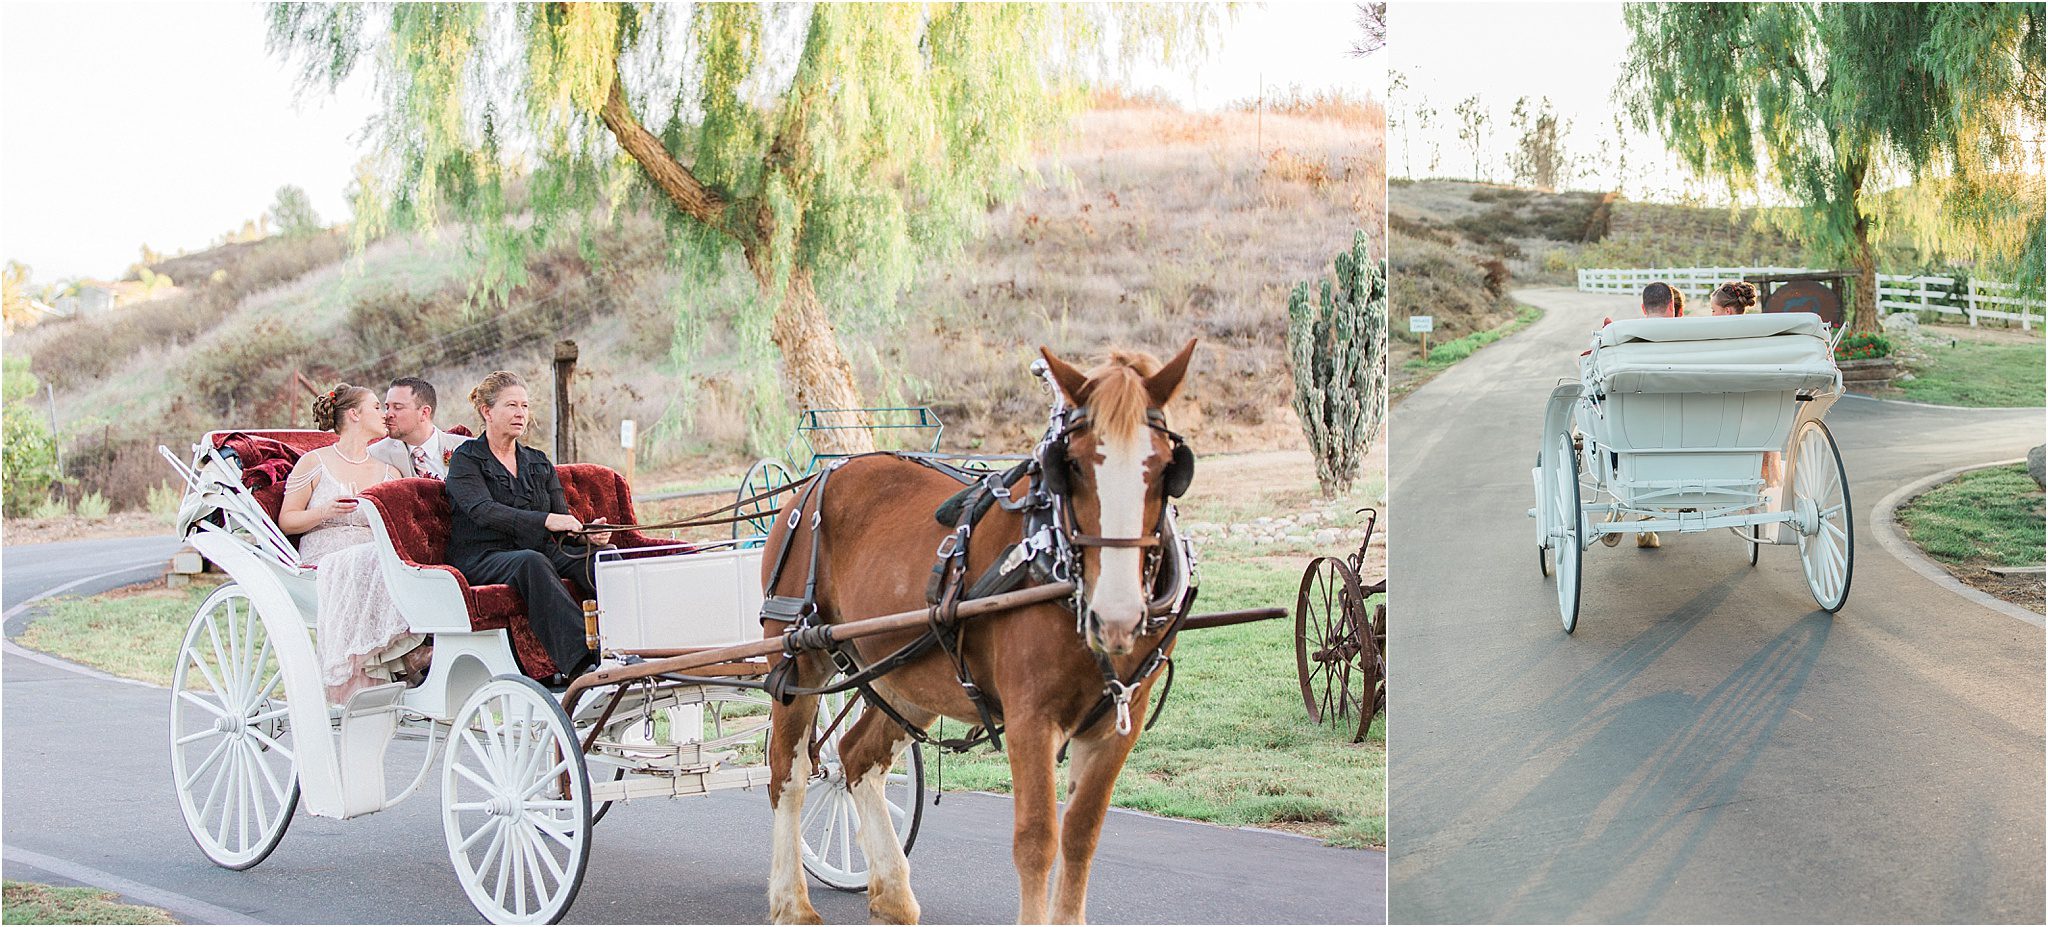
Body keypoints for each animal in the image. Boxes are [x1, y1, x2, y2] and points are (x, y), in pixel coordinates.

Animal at [761, 341, 1196, 924]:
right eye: (1072, 466)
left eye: (1169, 467)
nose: (1118, 613)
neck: (1052, 556)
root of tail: (806, 489)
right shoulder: (1030, 717)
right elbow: (1037, 840)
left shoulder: (1116, 726)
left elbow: (1080, 838)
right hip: (799, 661)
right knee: (789, 775)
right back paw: (792, 902)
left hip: (905, 675)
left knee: (854, 758)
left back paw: (892, 894)